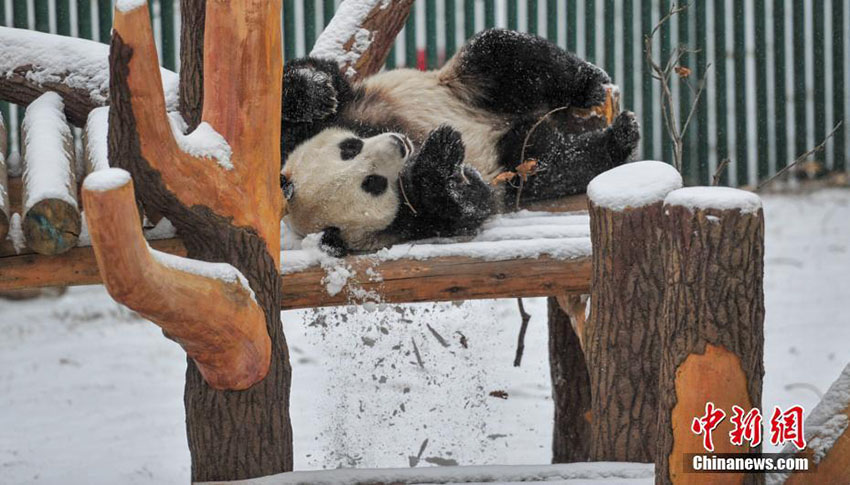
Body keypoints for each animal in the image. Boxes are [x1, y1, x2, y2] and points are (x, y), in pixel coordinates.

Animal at [282, 28, 640, 255]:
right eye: (373, 184)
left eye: (350, 148)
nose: (398, 144)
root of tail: (506, 125)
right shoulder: (414, 222)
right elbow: (469, 203)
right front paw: (442, 156)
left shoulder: (344, 112)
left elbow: (318, 78)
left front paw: (314, 92)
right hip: (515, 161)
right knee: (552, 163)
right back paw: (617, 141)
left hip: (466, 89)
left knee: (502, 56)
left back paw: (590, 85)